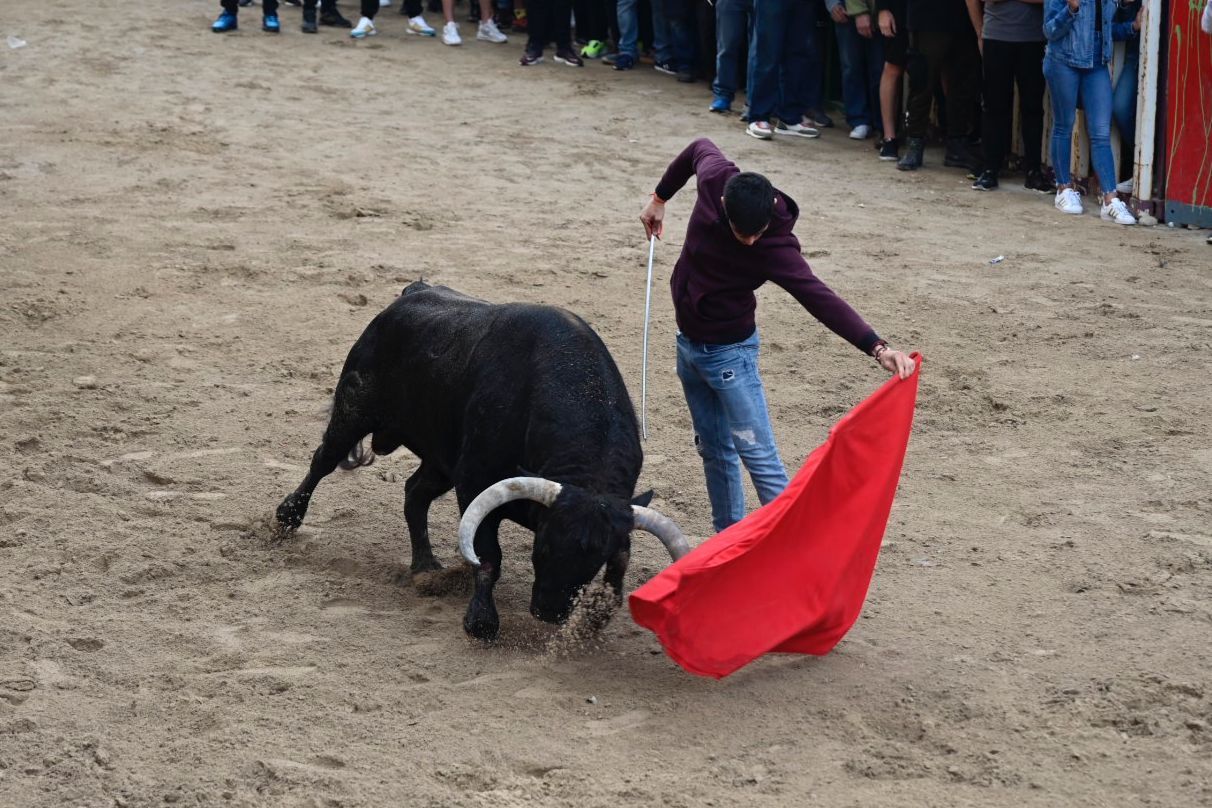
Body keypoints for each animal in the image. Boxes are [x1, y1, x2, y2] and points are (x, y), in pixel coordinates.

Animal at [277, 281, 693, 639]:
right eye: (542, 548)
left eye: (593, 563)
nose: (549, 612)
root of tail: (413, 292)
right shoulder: (476, 482)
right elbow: (489, 555)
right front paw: (481, 623)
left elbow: (618, 564)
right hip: (354, 409)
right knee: (322, 461)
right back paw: (286, 518)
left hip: (441, 457)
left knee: (415, 493)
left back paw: (425, 568)